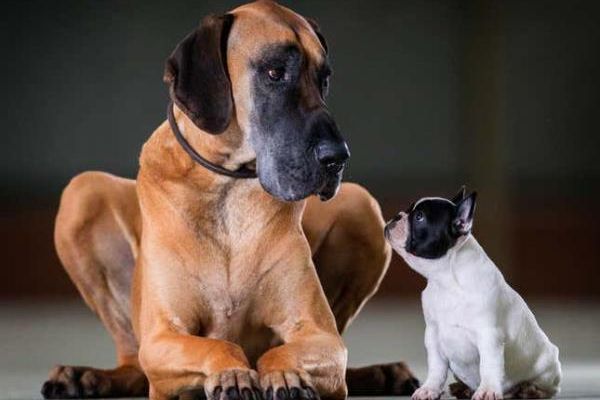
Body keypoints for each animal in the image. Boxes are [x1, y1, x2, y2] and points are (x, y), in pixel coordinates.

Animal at [41, 1, 418, 398]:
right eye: (274, 72)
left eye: (324, 79)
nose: (338, 157)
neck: (228, 188)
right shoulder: (163, 337)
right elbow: (217, 345)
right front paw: (233, 372)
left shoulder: (321, 336)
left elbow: (288, 351)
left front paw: (285, 373)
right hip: (83, 191)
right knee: (135, 366)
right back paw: (85, 377)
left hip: (362, 205)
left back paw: (382, 373)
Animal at [384, 188, 564, 400]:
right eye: (407, 210)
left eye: (419, 217)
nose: (397, 216)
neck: (445, 280)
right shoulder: (433, 336)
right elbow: (436, 368)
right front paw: (430, 389)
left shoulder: (489, 336)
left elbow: (488, 366)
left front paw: (487, 391)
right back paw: (463, 388)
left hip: (548, 367)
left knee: (549, 388)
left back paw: (529, 389)